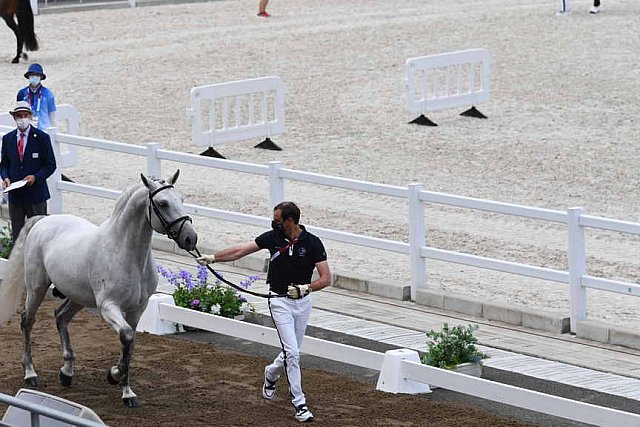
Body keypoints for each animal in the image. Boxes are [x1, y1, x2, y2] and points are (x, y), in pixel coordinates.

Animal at [0, 171, 198, 408]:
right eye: (162, 203)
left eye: (182, 199)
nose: (190, 238)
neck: (126, 254)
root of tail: (44, 219)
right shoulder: (108, 307)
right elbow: (126, 336)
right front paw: (114, 375)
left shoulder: (137, 310)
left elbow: (129, 344)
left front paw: (127, 392)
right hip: (37, 288)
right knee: (27, 321)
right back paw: (31, 373)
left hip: (78, 297)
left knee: (60, 317)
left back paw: (66, 372)